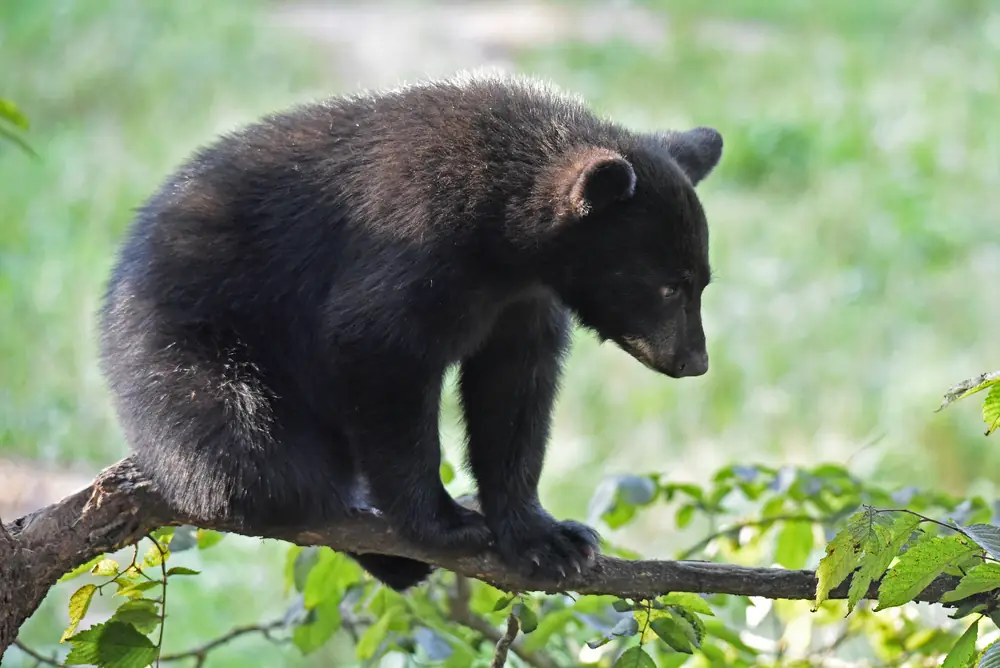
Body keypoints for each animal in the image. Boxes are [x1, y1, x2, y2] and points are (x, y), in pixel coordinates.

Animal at [97, 71, 722, 592]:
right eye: (669, 286)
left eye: (702, 282)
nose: (694, 362)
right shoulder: (412, 244)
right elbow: (380, 351)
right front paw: (444, 522)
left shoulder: (522, 304)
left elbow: (514, 394)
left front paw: (548, 538)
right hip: (188, 344)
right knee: (244, 446)